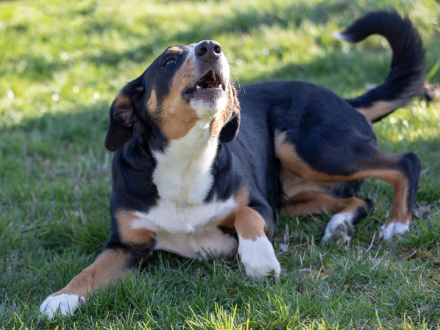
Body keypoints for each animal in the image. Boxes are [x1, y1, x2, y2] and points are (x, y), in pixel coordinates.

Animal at [39, 10, 424, 318]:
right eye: (168, 61)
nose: (211, 47)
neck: (187, 158)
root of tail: (344, 100)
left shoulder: (262, 208)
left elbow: (245, 215)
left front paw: (259, 259)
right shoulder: (125, 244)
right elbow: (91, 269)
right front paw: (62, 298)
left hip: (311, 147)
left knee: (406, 161)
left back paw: (397, 224)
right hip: (294, 195)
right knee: (359, 199)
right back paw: (340, 225)